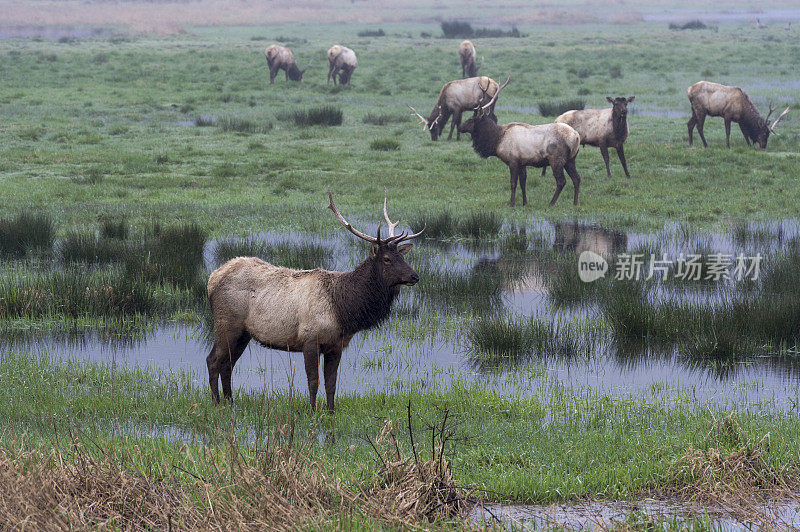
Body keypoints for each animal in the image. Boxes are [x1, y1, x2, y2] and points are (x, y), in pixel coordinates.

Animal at [203, 190, 422, 412]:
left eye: (402, 257)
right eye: (387, 259)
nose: (414, 276)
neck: (344, 310)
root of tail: (212, 278)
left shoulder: (336, 345)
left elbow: (331, 383)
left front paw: (331, 411)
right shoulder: (309, 339)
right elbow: (313, 381)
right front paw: (312, 411)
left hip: (244, 333)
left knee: (228, 364)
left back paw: (230, 402)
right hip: (226, 323)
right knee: (213, 360)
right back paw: (216, 403)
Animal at [456, 77, 580, 206]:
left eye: (471, 119)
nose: (459, 127)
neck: (497, 140)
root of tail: (576, 137)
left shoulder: (513, 161)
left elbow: (513, 183)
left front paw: (512, 203)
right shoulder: (522, 162)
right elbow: (523, 183)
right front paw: (525, 202)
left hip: (556, 159)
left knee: (561, 181)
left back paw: (551, 203)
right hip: (571, 159)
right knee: (577, 179)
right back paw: (575, 203)